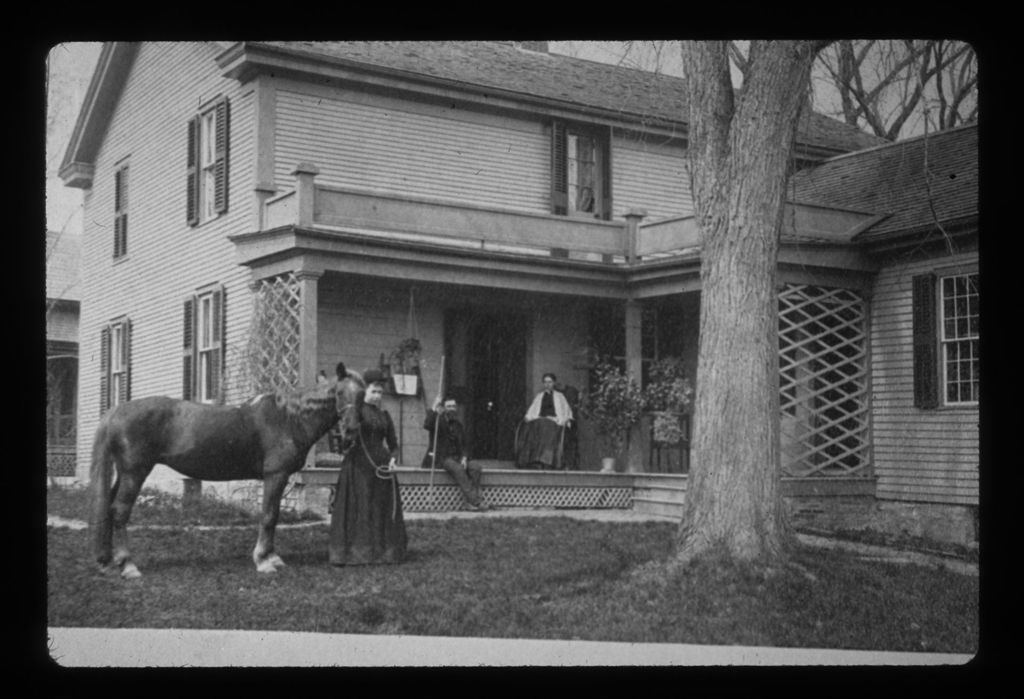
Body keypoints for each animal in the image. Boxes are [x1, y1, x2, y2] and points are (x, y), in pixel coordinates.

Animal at [90, 372, 366, 581]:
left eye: (363, 395)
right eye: (339, 393)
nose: (352, 432)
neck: (288, 418)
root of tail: (116, 411)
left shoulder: (281, 478)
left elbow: (274, 516)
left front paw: (273, 557)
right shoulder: (275, 476)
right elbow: (269, 516)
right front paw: (263, 561)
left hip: (124, 474)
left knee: (108, 508)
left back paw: (106, 561)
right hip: (135, 473)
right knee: (120, 511)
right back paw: (128, 565)